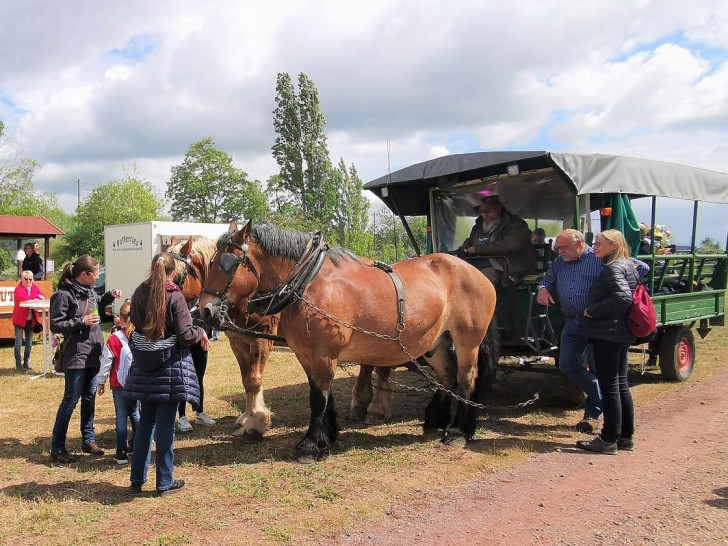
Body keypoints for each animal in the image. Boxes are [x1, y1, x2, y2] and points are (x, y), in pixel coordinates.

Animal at [168, 233, 396, 438]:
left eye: (174, 272)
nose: (205, 311)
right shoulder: (239, 342)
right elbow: (246, 379)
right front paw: (246, 417)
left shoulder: (261, 339)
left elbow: (254, 379)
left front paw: (256, 421)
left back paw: (375, 408)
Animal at [198, 220, 500, 460]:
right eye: (210, 263)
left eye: (227, 264)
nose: (205, 310)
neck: (308, 283)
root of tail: (474, 271)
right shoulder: (307, 354)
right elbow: (321, 394)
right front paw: (328, 435)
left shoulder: (324, 353)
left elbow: (317, 396)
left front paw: (311, 445)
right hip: (435, 343)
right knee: (447, 376)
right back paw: (434, 421)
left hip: (467, 340)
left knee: (466, 379)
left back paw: (459, 431)